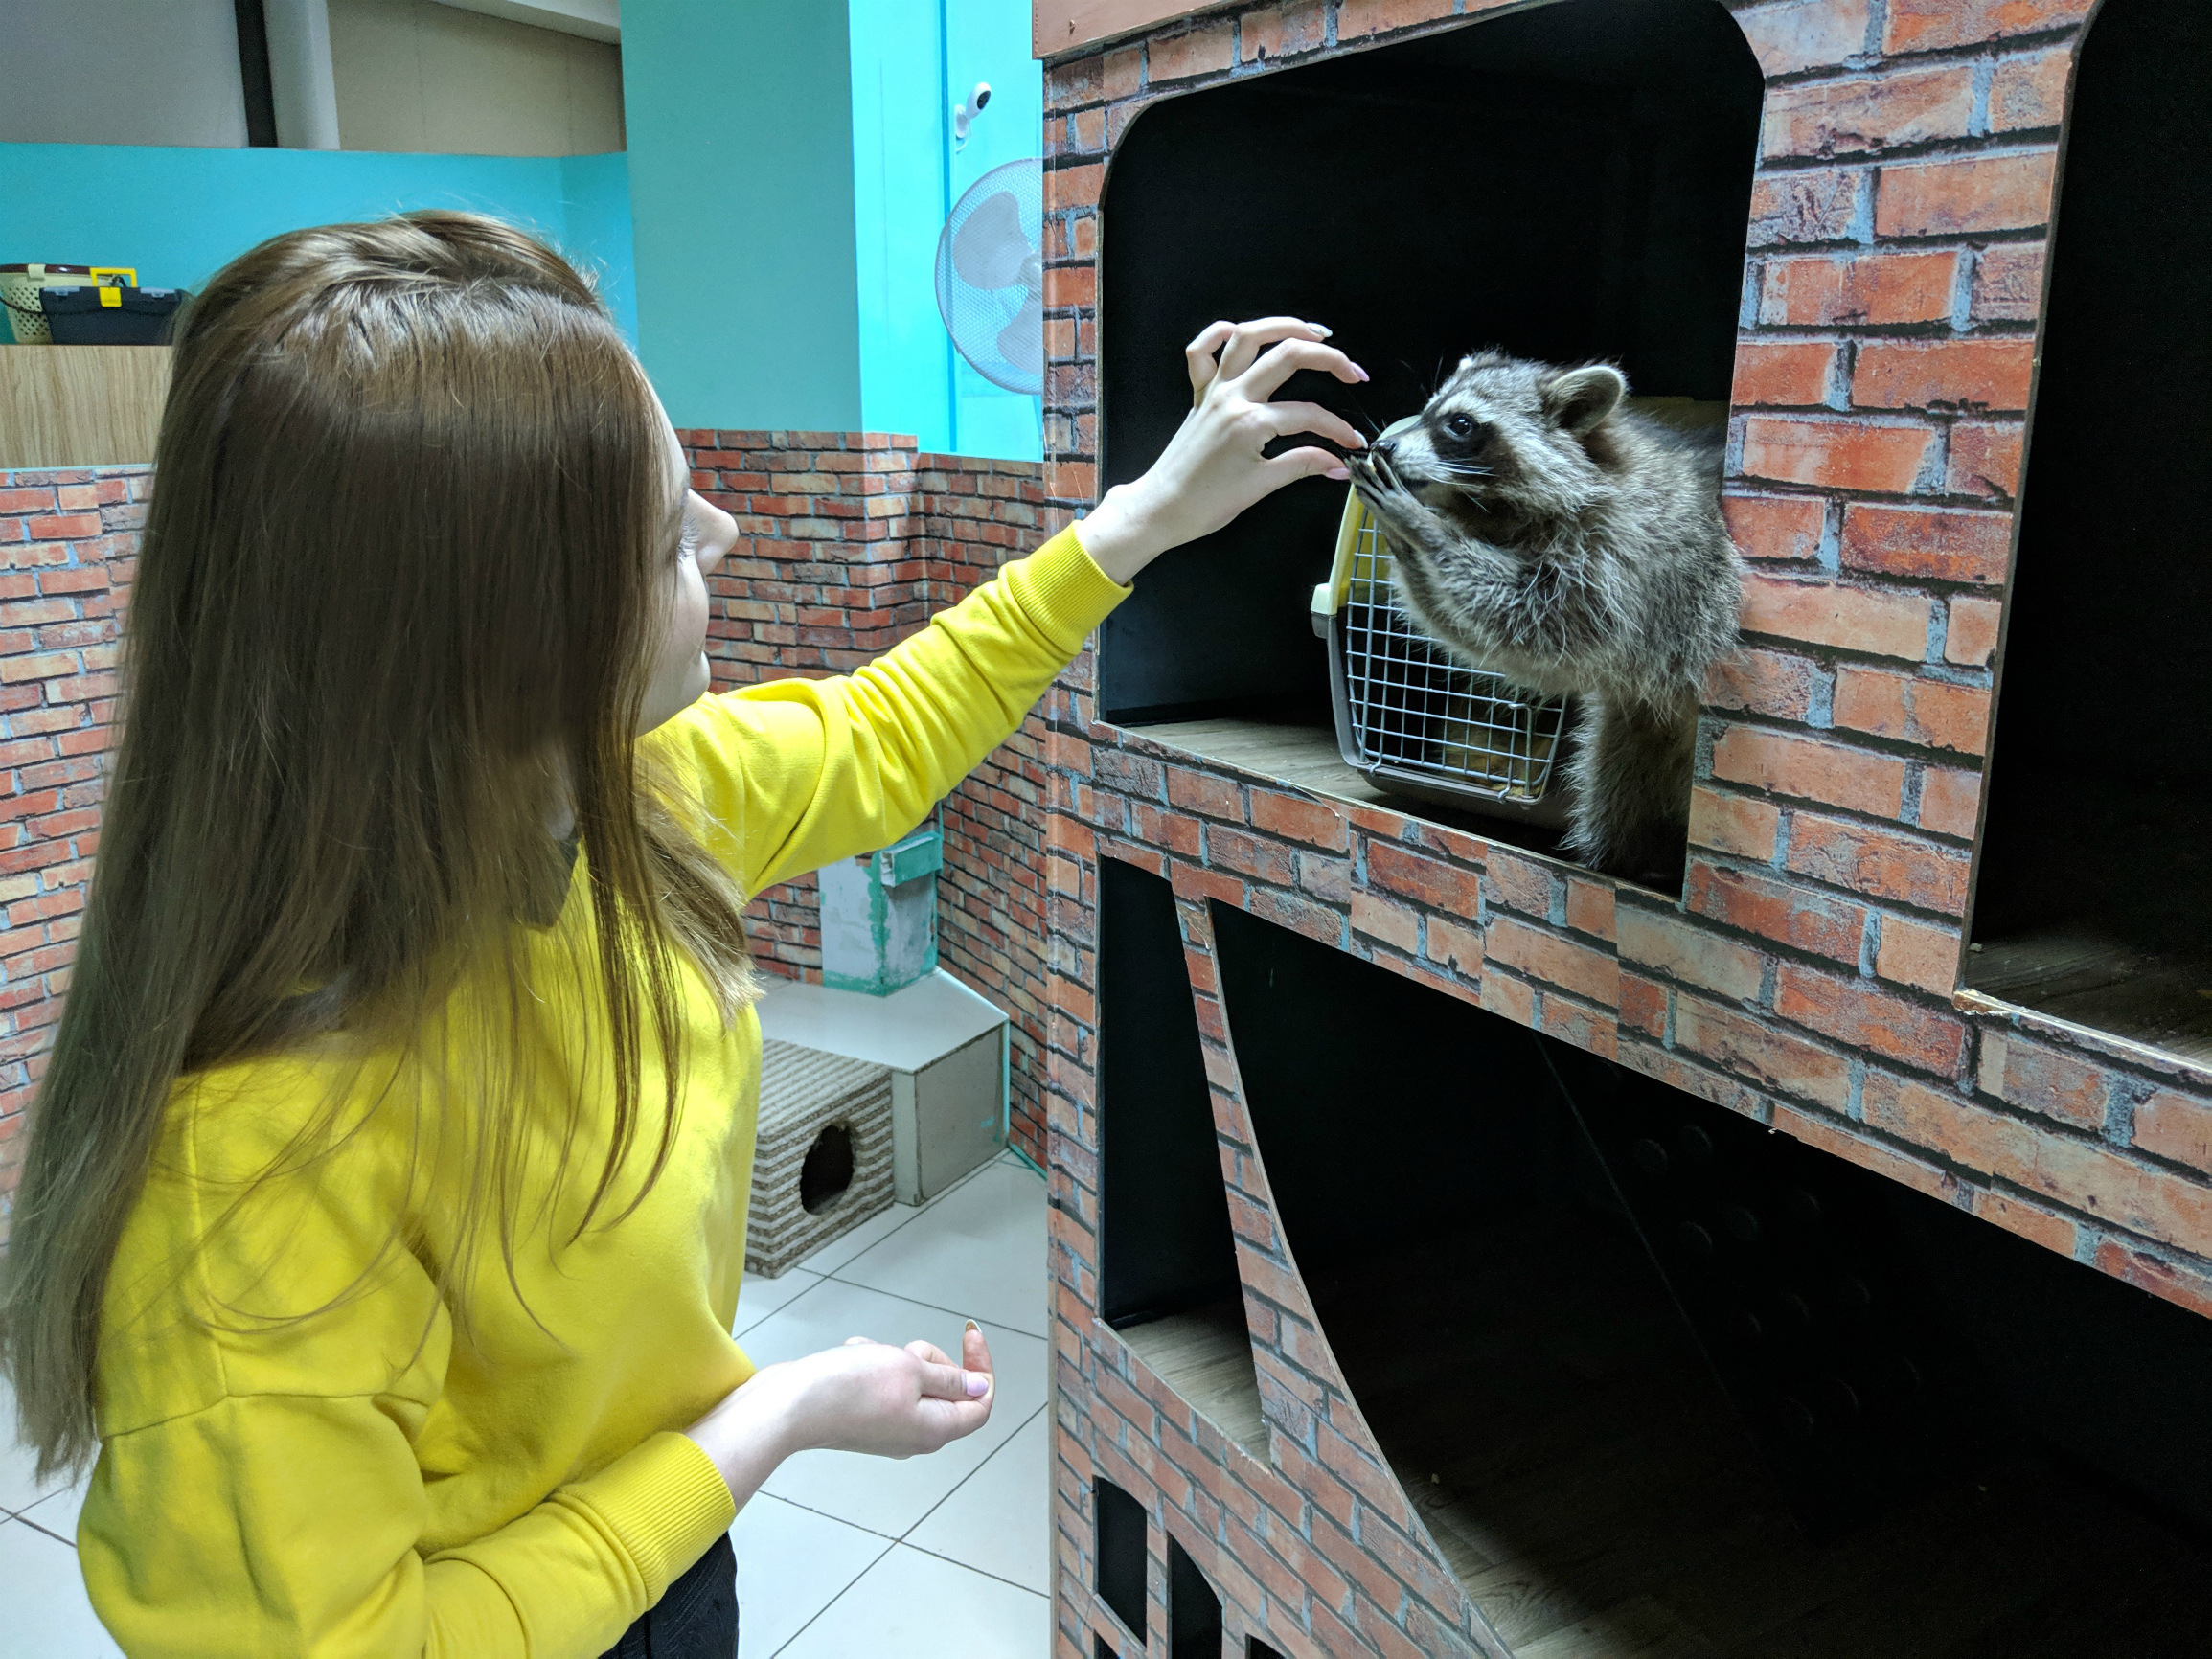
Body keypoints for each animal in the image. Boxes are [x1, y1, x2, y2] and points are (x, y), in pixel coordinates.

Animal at [1344, 349, 1743, 884]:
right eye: (1426, 411)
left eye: (1461, 424)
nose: (1382, 445)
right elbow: (1498, 640)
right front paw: (1405, 539)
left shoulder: (1629, 551)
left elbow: (1551, 625)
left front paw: (1423, 529)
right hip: (1636, 729)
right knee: (1617, 790)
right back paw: (1628, 861)